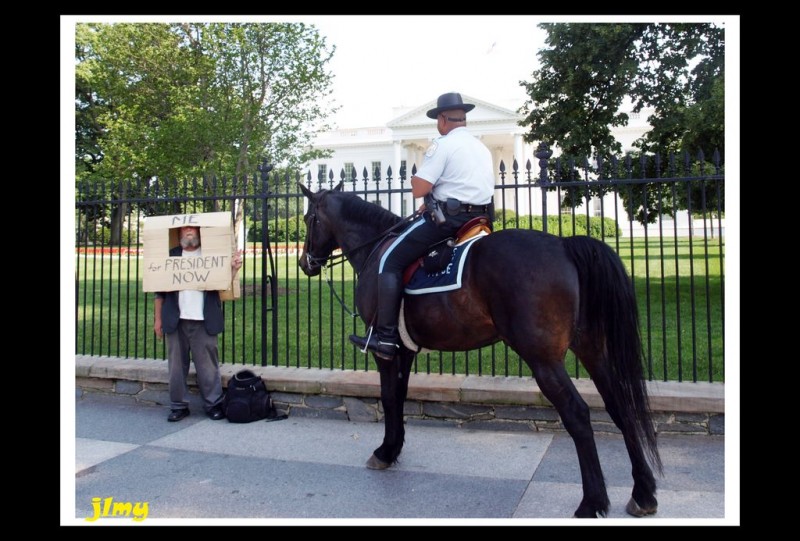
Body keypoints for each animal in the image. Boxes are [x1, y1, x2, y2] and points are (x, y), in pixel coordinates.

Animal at [296, 180, 660, 516]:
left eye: (308, 218)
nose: (305, 263)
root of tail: (564, 244)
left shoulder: (385, 350)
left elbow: (387, 397)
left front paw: (385, 451)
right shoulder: (405, 350)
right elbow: (398, 397)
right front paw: (394, 447)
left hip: (543, 360)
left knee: (578, 414)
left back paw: (592, 502)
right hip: (592, 350)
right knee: (620, 405)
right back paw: (643, 493)